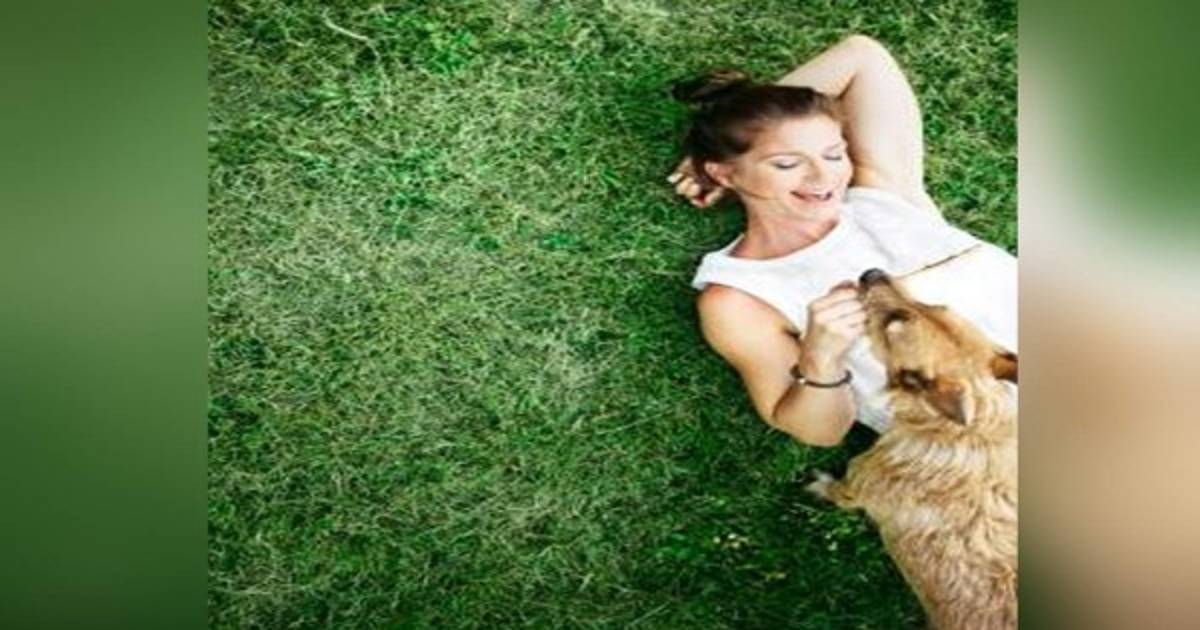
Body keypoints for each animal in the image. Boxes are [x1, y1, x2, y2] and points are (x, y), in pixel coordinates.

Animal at [807, 267, 1018, 630]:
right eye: (934, 304)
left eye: (893, 323)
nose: (871, 272)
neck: (965, 431)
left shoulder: (857, 485)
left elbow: (837, 490)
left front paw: (820, 486)